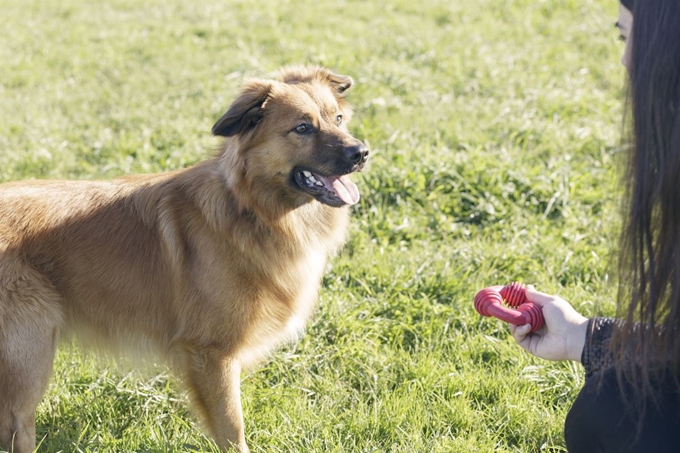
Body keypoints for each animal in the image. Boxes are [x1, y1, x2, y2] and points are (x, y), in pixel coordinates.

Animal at [0, 64, 366, 452]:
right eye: (302, 128)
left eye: (338, 119)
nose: (362, 153)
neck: (249, 209)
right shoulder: (212, 355)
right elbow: (232, 431)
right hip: (30, 357)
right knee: (18, 428)